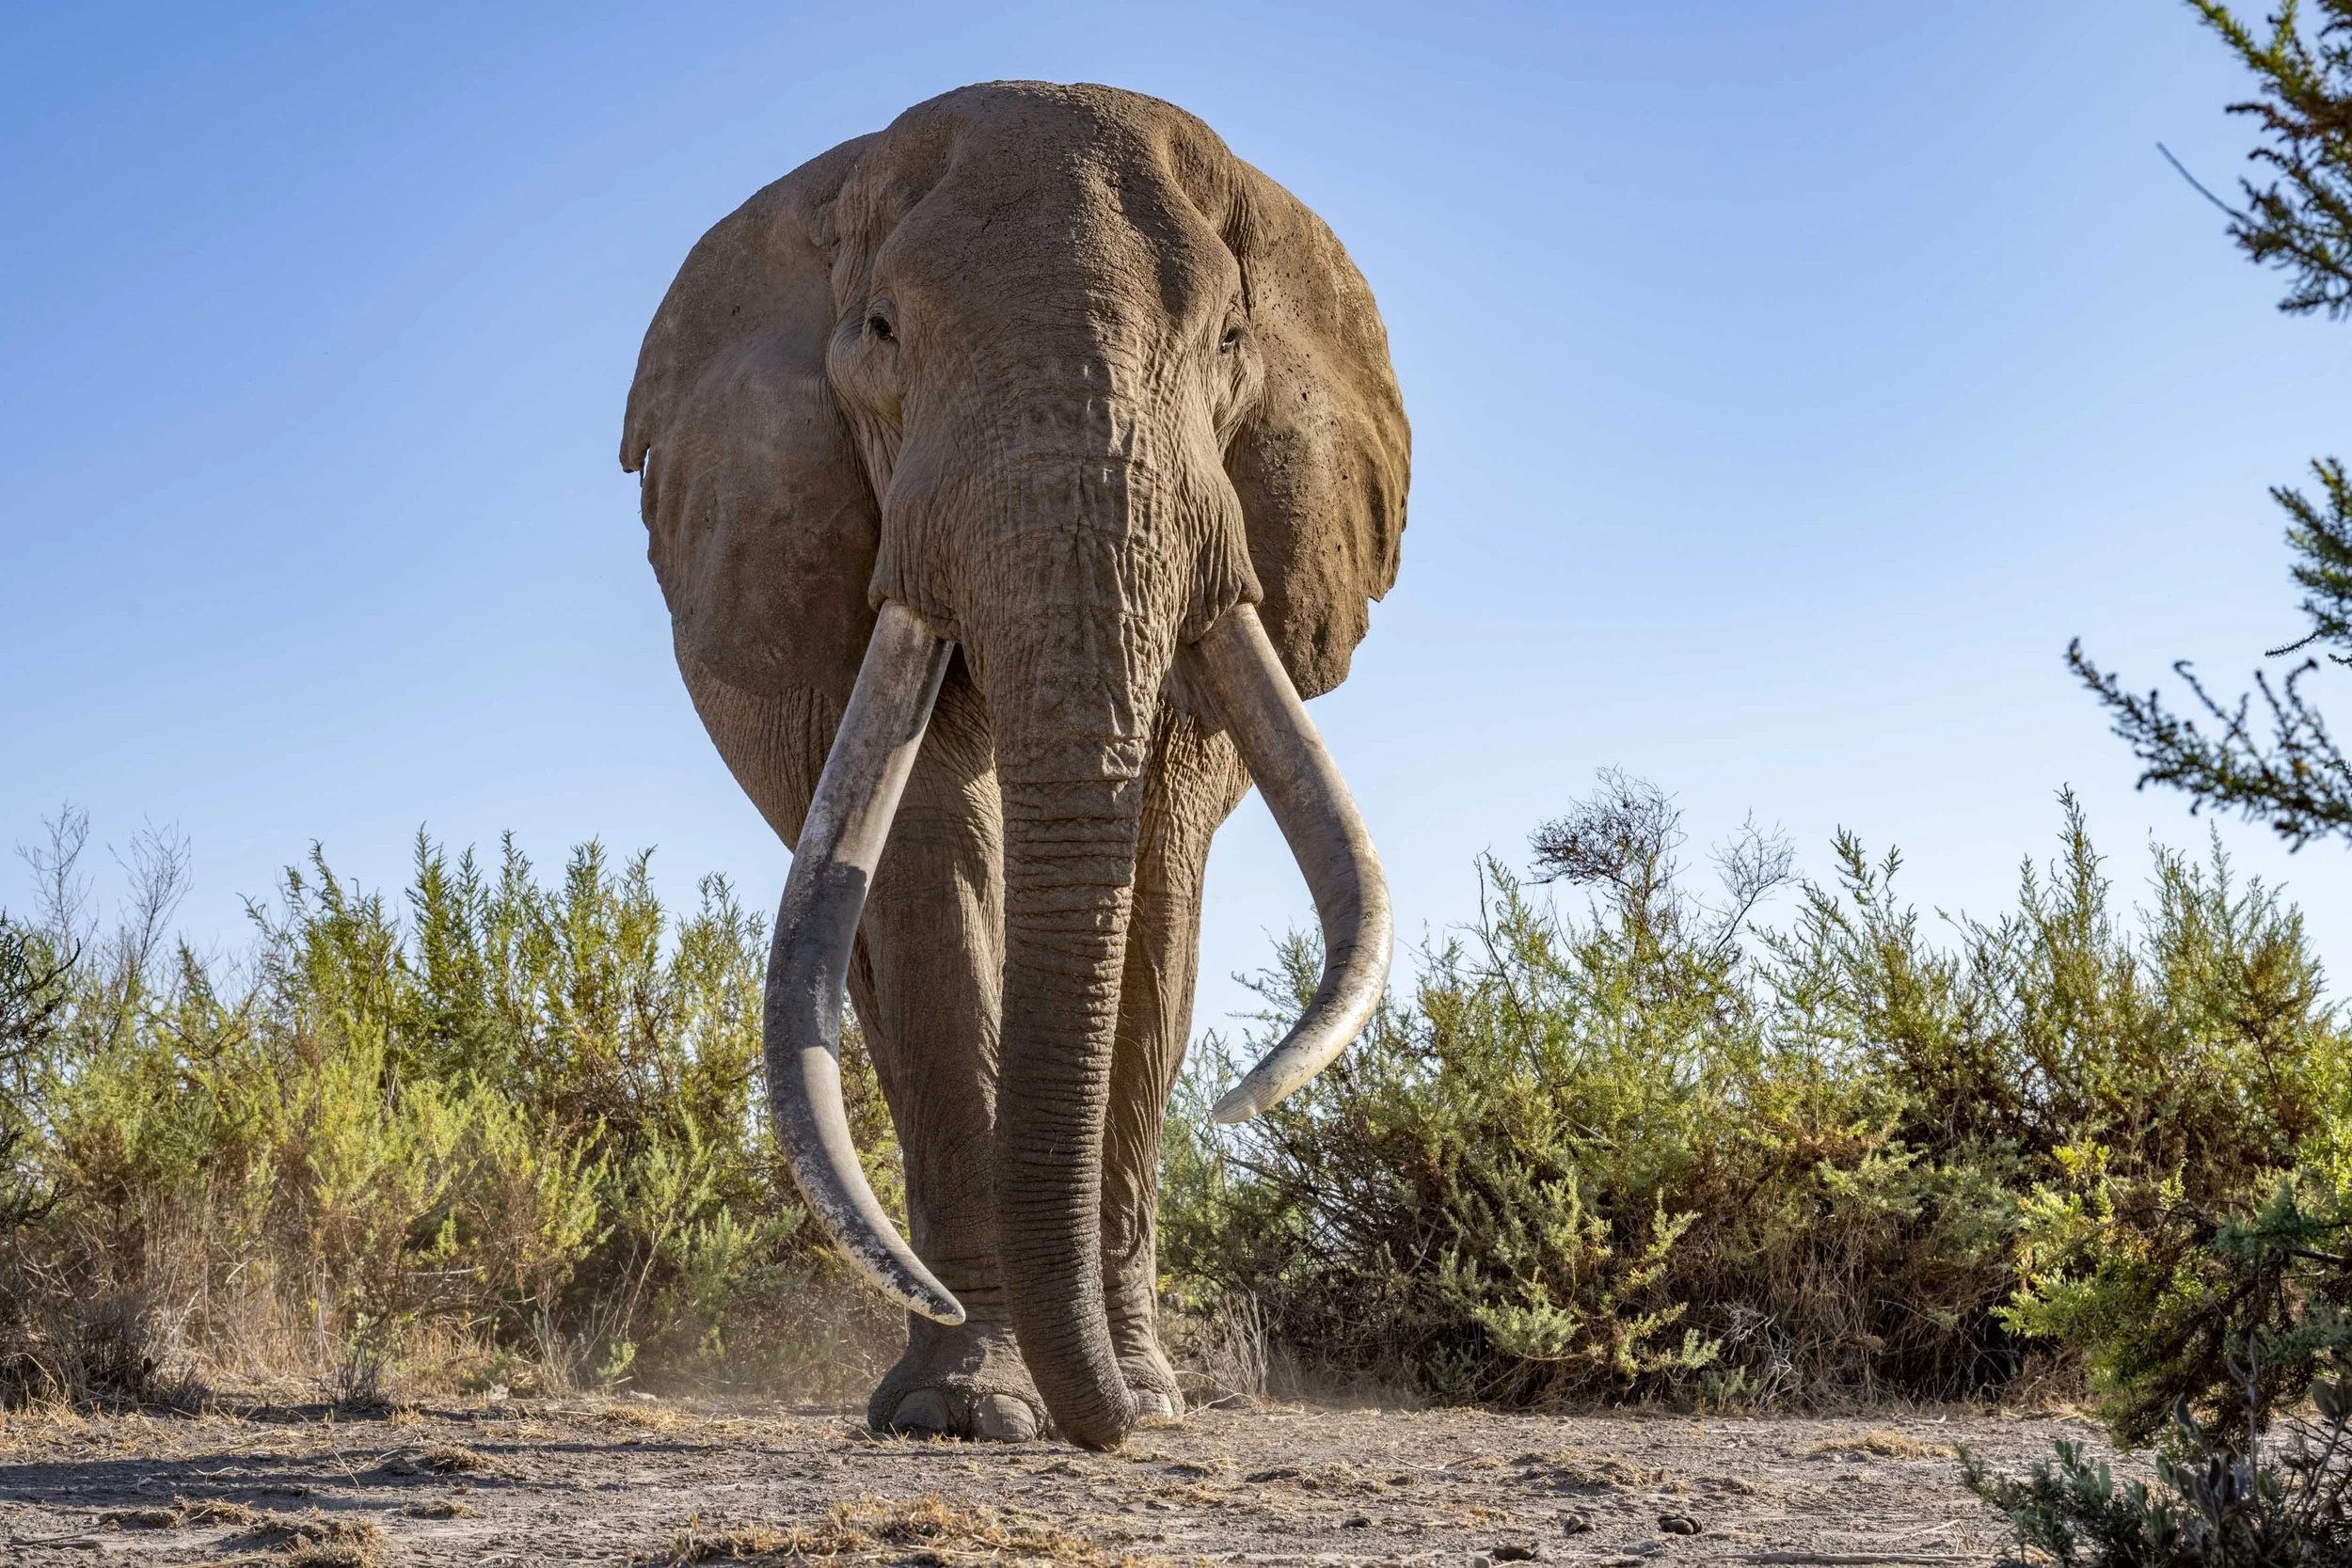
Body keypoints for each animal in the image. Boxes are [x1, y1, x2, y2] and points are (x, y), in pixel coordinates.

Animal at [620, 81, 1408, 1450]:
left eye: (1231, 341)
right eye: (883, 332)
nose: (1116, 1420)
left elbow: (1155, 871)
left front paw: (1140, 1394)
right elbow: (931, 861)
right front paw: (970, 1411)